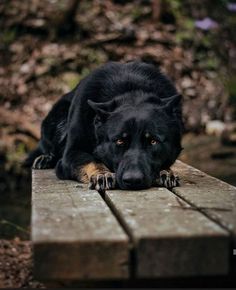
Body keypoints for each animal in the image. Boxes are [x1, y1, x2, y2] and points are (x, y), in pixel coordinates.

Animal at [26, 61, 184, 190]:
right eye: (119, 141)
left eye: (153, 141)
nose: (133, 180)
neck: (131, 90)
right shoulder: (71, 154)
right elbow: (91, 160)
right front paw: (102, 174)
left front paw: (165, 171)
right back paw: (45, 158)